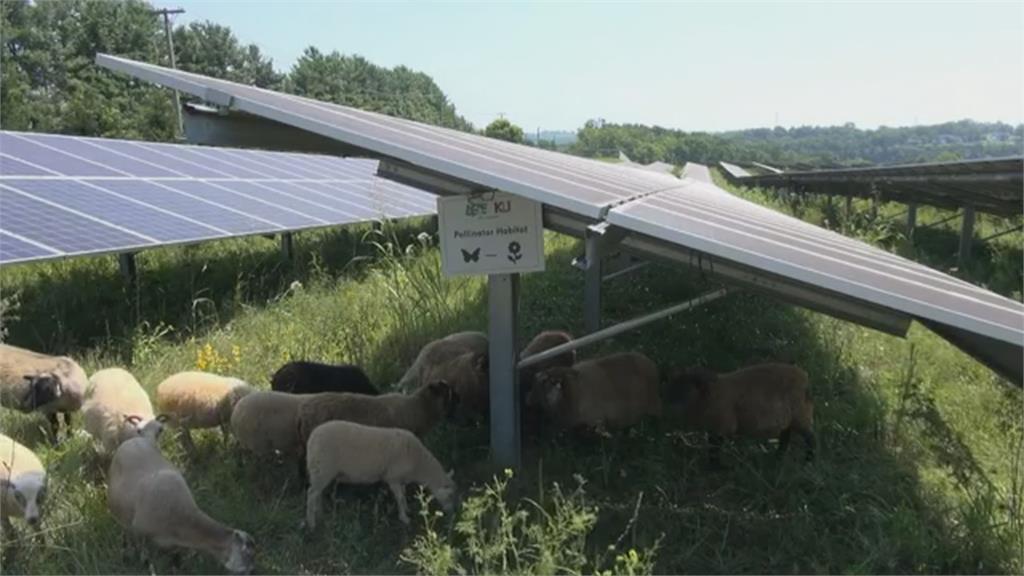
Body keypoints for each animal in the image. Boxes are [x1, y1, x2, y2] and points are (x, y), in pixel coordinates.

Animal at [106, 412, 258, 569]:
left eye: (161, 430)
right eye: (248, 556)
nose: (253, 570)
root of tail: (138, 441)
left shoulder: (174, 546)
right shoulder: (141, 536)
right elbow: (145, 558)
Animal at [299, 416, 452, 524]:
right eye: (451, 495)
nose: (451, 513)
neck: (419, 464)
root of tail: (312, 437)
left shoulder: (401, 479)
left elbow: (402, 495)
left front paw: (407, 510)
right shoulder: (393, 478)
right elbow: (400, 497)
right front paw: (404, 518)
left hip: (321, 471)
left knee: (317, 493)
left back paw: (320, 515)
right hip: (322, 469)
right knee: (312, 494)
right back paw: (311, 523)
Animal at [663, 360, 815, 463]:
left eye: (687, 388)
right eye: (672, 384)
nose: (668, 402)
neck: (709, 396)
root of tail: (805, 379)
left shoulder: (723, 427)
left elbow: (714, 448)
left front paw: (714, 467)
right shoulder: (713, 428)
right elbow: (712, 445)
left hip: (800, 416)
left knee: (810, 437)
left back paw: (808, 460)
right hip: (788, 420)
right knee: (785, 437)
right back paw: (777, 458)